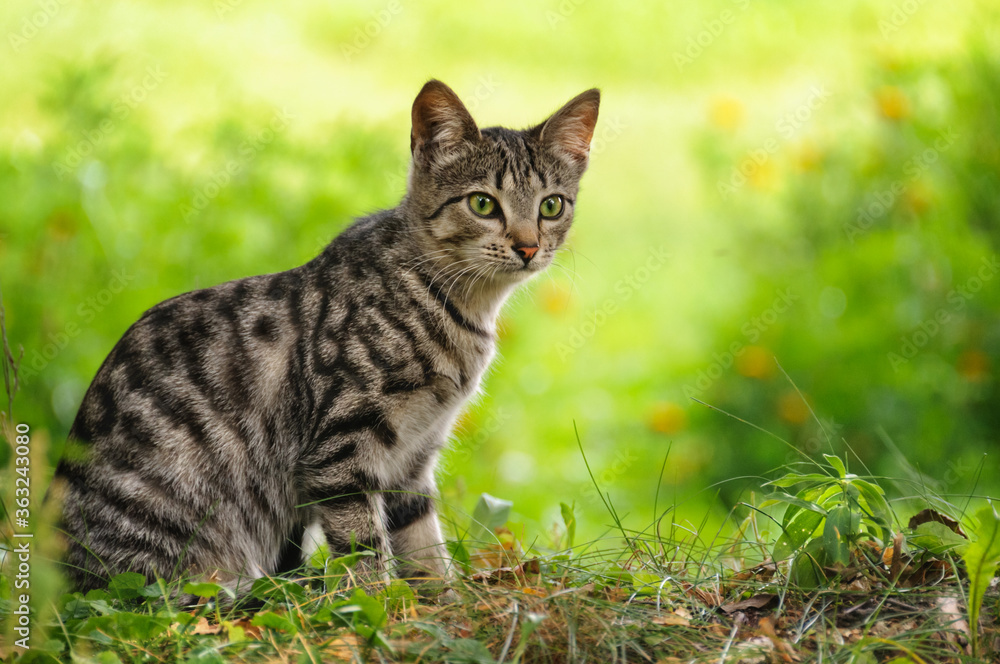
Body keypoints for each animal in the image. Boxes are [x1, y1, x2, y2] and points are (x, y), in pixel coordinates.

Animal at [52, 79, 600, 596]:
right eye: (483, 203)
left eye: (552, 206)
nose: (528, 247)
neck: (460, 308)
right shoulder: (341, 449)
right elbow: (365, 547)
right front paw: (384, 603)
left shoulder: (414, 456)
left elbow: (423, 543)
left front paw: (442, 599)